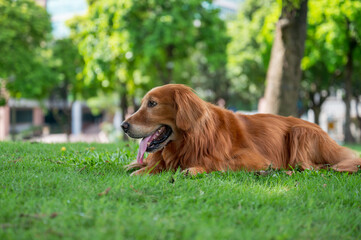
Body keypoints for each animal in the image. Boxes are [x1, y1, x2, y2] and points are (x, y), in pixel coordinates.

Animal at [120, 84, 360, 174]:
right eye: (143, 103)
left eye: (152, 104)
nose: (123, 125)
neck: (193, 138)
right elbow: (151, 163)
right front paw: (137, 165)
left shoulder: (254, 158)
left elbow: (217, 163)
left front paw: (194, 168)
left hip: (300, 132)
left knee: (314, 167)